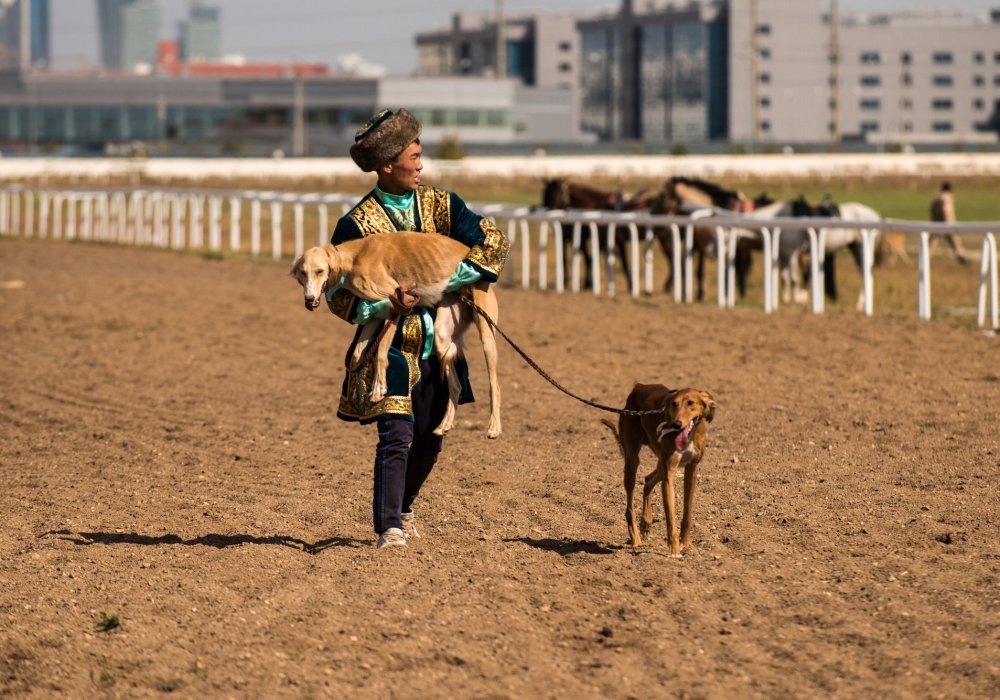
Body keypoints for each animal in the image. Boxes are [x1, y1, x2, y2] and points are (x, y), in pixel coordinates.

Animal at [292, 231, 504, 438]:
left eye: (319, 271)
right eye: (303, 272)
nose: (309, 299)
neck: (354, 258)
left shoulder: (397, 306)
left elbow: (380, 352)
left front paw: (378, 390)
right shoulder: (376, 312)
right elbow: (358, 354)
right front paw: (357, 391)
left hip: (487, 337)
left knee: (495, 385)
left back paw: (494, 428)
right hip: (442, 336)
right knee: (456, 386)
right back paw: (444, 425)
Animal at [600, 386, 720, 556]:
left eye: (691, 403)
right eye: (674, 404)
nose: (676, 424)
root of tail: (639, 386)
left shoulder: (692, 469)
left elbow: (687, 513)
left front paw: (686, 544)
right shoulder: (669, 473)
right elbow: (670, 518)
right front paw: (674, 550)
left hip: (659, 464)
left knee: (648, 480)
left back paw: (646, 521)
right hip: (632, 462)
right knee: (629, 508)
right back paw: (636, 539)